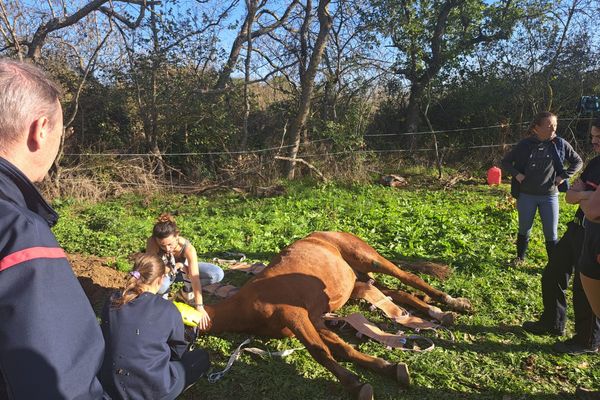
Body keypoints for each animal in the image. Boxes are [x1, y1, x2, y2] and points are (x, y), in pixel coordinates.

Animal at [200, 231, 468, 400]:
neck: (245, 306)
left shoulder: (296, 315)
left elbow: (319, 351)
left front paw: (354, 384)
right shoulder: (315, 319)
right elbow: (341, 348)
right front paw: (386, 368)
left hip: (369, 259)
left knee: (408, 277)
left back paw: (450, 304)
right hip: (359, 283)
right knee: (394, 292)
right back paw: (437, 312)